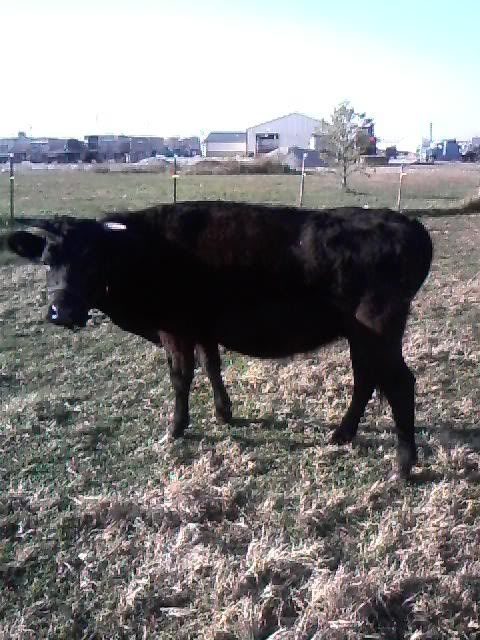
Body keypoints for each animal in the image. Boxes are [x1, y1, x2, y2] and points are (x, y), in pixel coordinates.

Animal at [7, 201, 433, 478]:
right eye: (46, 260)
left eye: (92, 259)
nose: (61, 312)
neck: (141, 252)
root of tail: (405, 222)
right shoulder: (202, 327)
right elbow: (211, 364)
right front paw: (223, 412)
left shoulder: (175, 328)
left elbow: (181, 377)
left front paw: (175, 428)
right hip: (361, 335)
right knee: (366, 379)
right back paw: (342, 435)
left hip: (378, 328)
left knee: (398, 383)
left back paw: (403, 466)